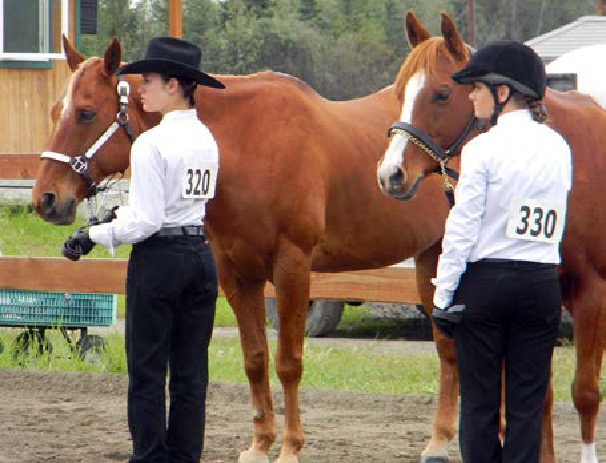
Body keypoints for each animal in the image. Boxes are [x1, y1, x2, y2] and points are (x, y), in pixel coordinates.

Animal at [32, 37, 460, 463]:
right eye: (54, 112)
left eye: (86, 113)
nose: (45, 200)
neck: (249, 145)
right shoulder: (237, 274)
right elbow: (255, 359)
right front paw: (259, 445)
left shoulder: (292, 267)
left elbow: (288, 362)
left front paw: (290, 448)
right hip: (430, 260)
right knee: (446, 346)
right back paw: (439, 440)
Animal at [378, 10, 604, 463]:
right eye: (398, 91)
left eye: (442, 94)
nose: (391, 174)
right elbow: (538, 397)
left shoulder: (593, 293)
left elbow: (585, 392)